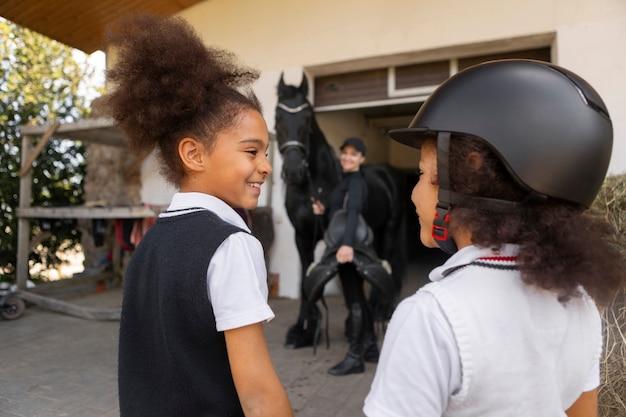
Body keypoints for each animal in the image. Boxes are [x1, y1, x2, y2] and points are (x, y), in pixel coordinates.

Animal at [274, 73, 404, 346]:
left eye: (307, 117)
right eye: (278, 116)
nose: (294, 171)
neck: (313, 187)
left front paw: (352, 327)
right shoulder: (302, 237)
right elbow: (305, 280)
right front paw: (303, 330)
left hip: (389, 229)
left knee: (389, 262)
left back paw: (382, 311)